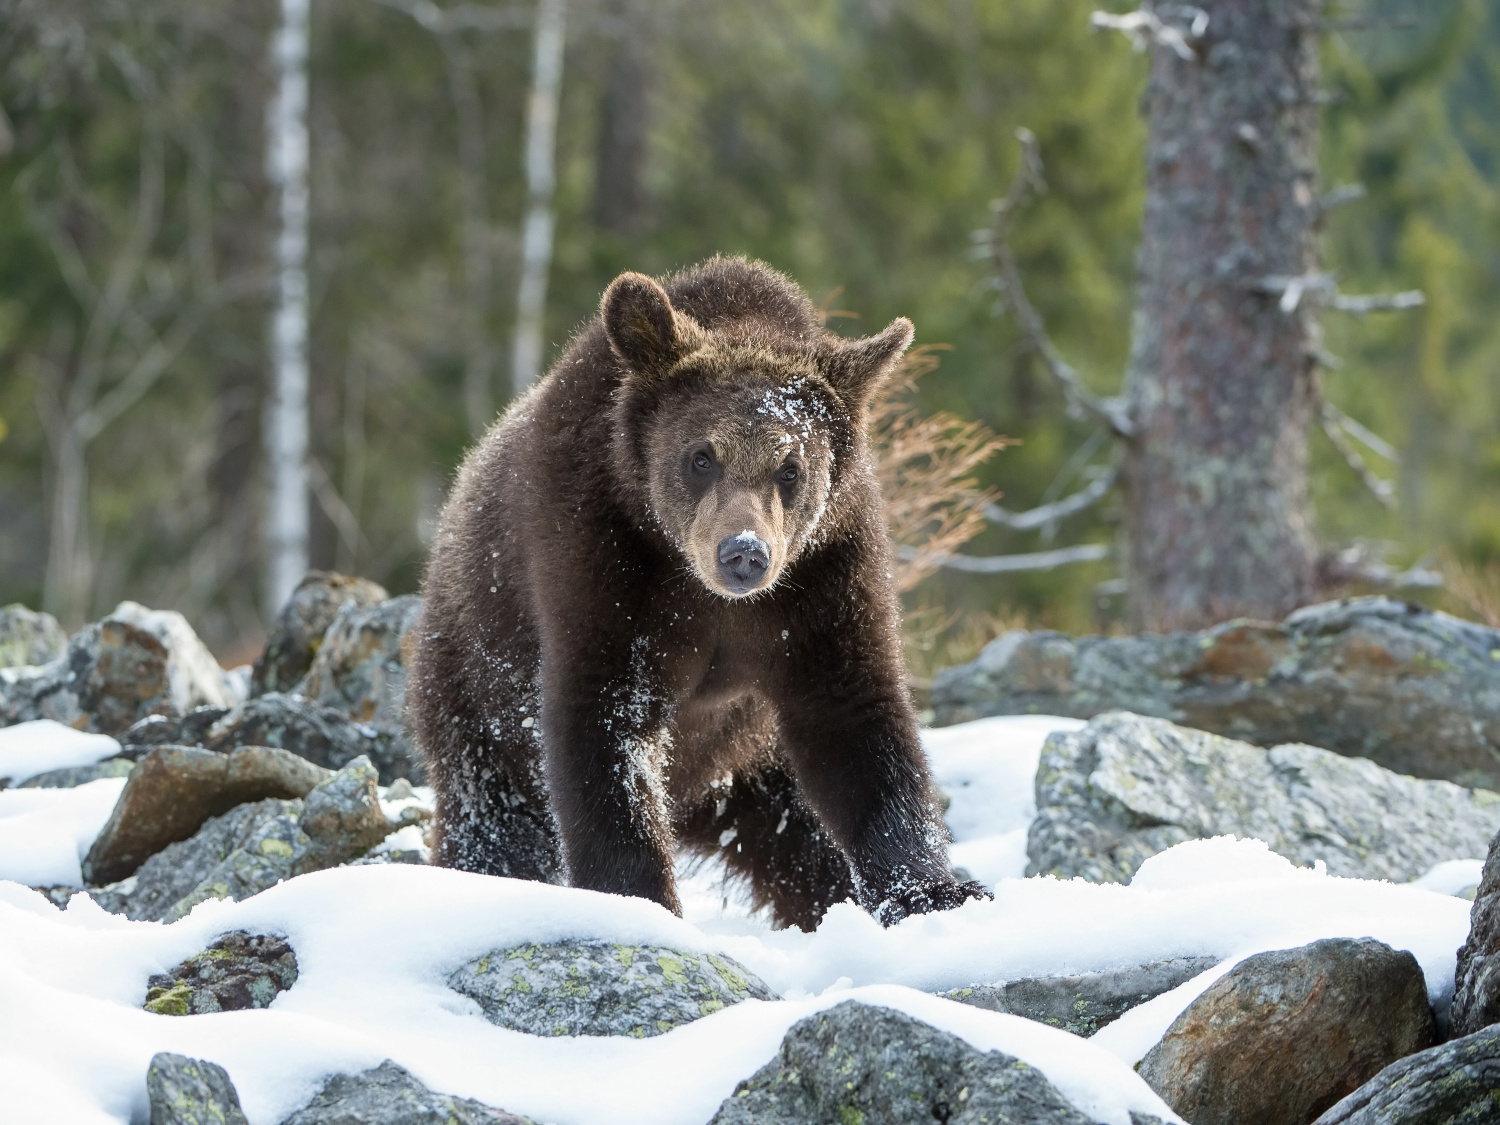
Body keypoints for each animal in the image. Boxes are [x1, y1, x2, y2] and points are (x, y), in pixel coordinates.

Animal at [411, 258, 990, 936]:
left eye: (791, 468)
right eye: (701, 457)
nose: (743, 552)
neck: (699, 589)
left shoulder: (822, 581)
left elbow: (858, 726)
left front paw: (937, 892)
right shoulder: (598, 564)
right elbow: (603, 731)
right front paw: (640, 899)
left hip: (752, 766)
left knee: (803, 843)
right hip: (475, 689)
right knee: (496, 820)